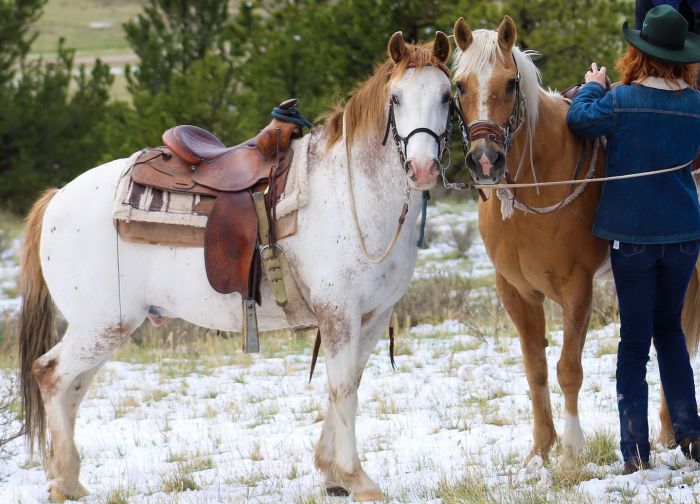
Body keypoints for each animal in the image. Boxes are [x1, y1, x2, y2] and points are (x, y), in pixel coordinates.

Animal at [17, 32, 454, 500]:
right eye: (396, 98)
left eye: (447, 96)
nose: (422, 168)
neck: (352, 191)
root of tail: (57, 198)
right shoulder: (339, 314)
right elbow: (342, 389)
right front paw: (357, 478)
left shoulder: (373, 315)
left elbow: (350, 382)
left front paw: (331, 472)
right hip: (101, 325)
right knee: (51, 376)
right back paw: (63, 480)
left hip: (102, 329)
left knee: (73, 386)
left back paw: (69, 480)